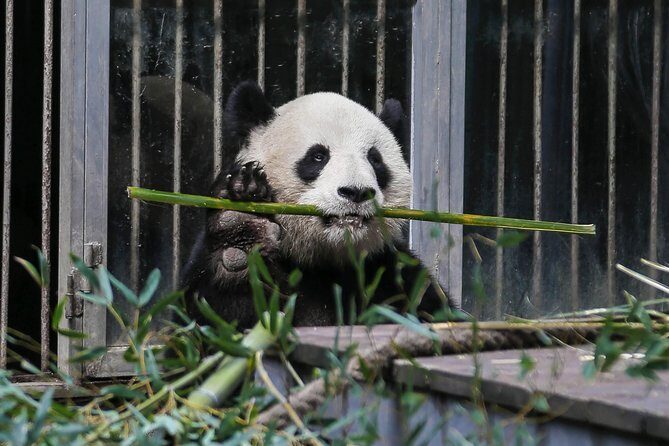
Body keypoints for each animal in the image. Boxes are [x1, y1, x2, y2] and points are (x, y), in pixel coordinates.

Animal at [182, 81, 453, 328]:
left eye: (375, 160)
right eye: (318, 156)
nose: (356, 192)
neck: (325, 259)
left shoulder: (391, 273)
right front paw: (241, 230)